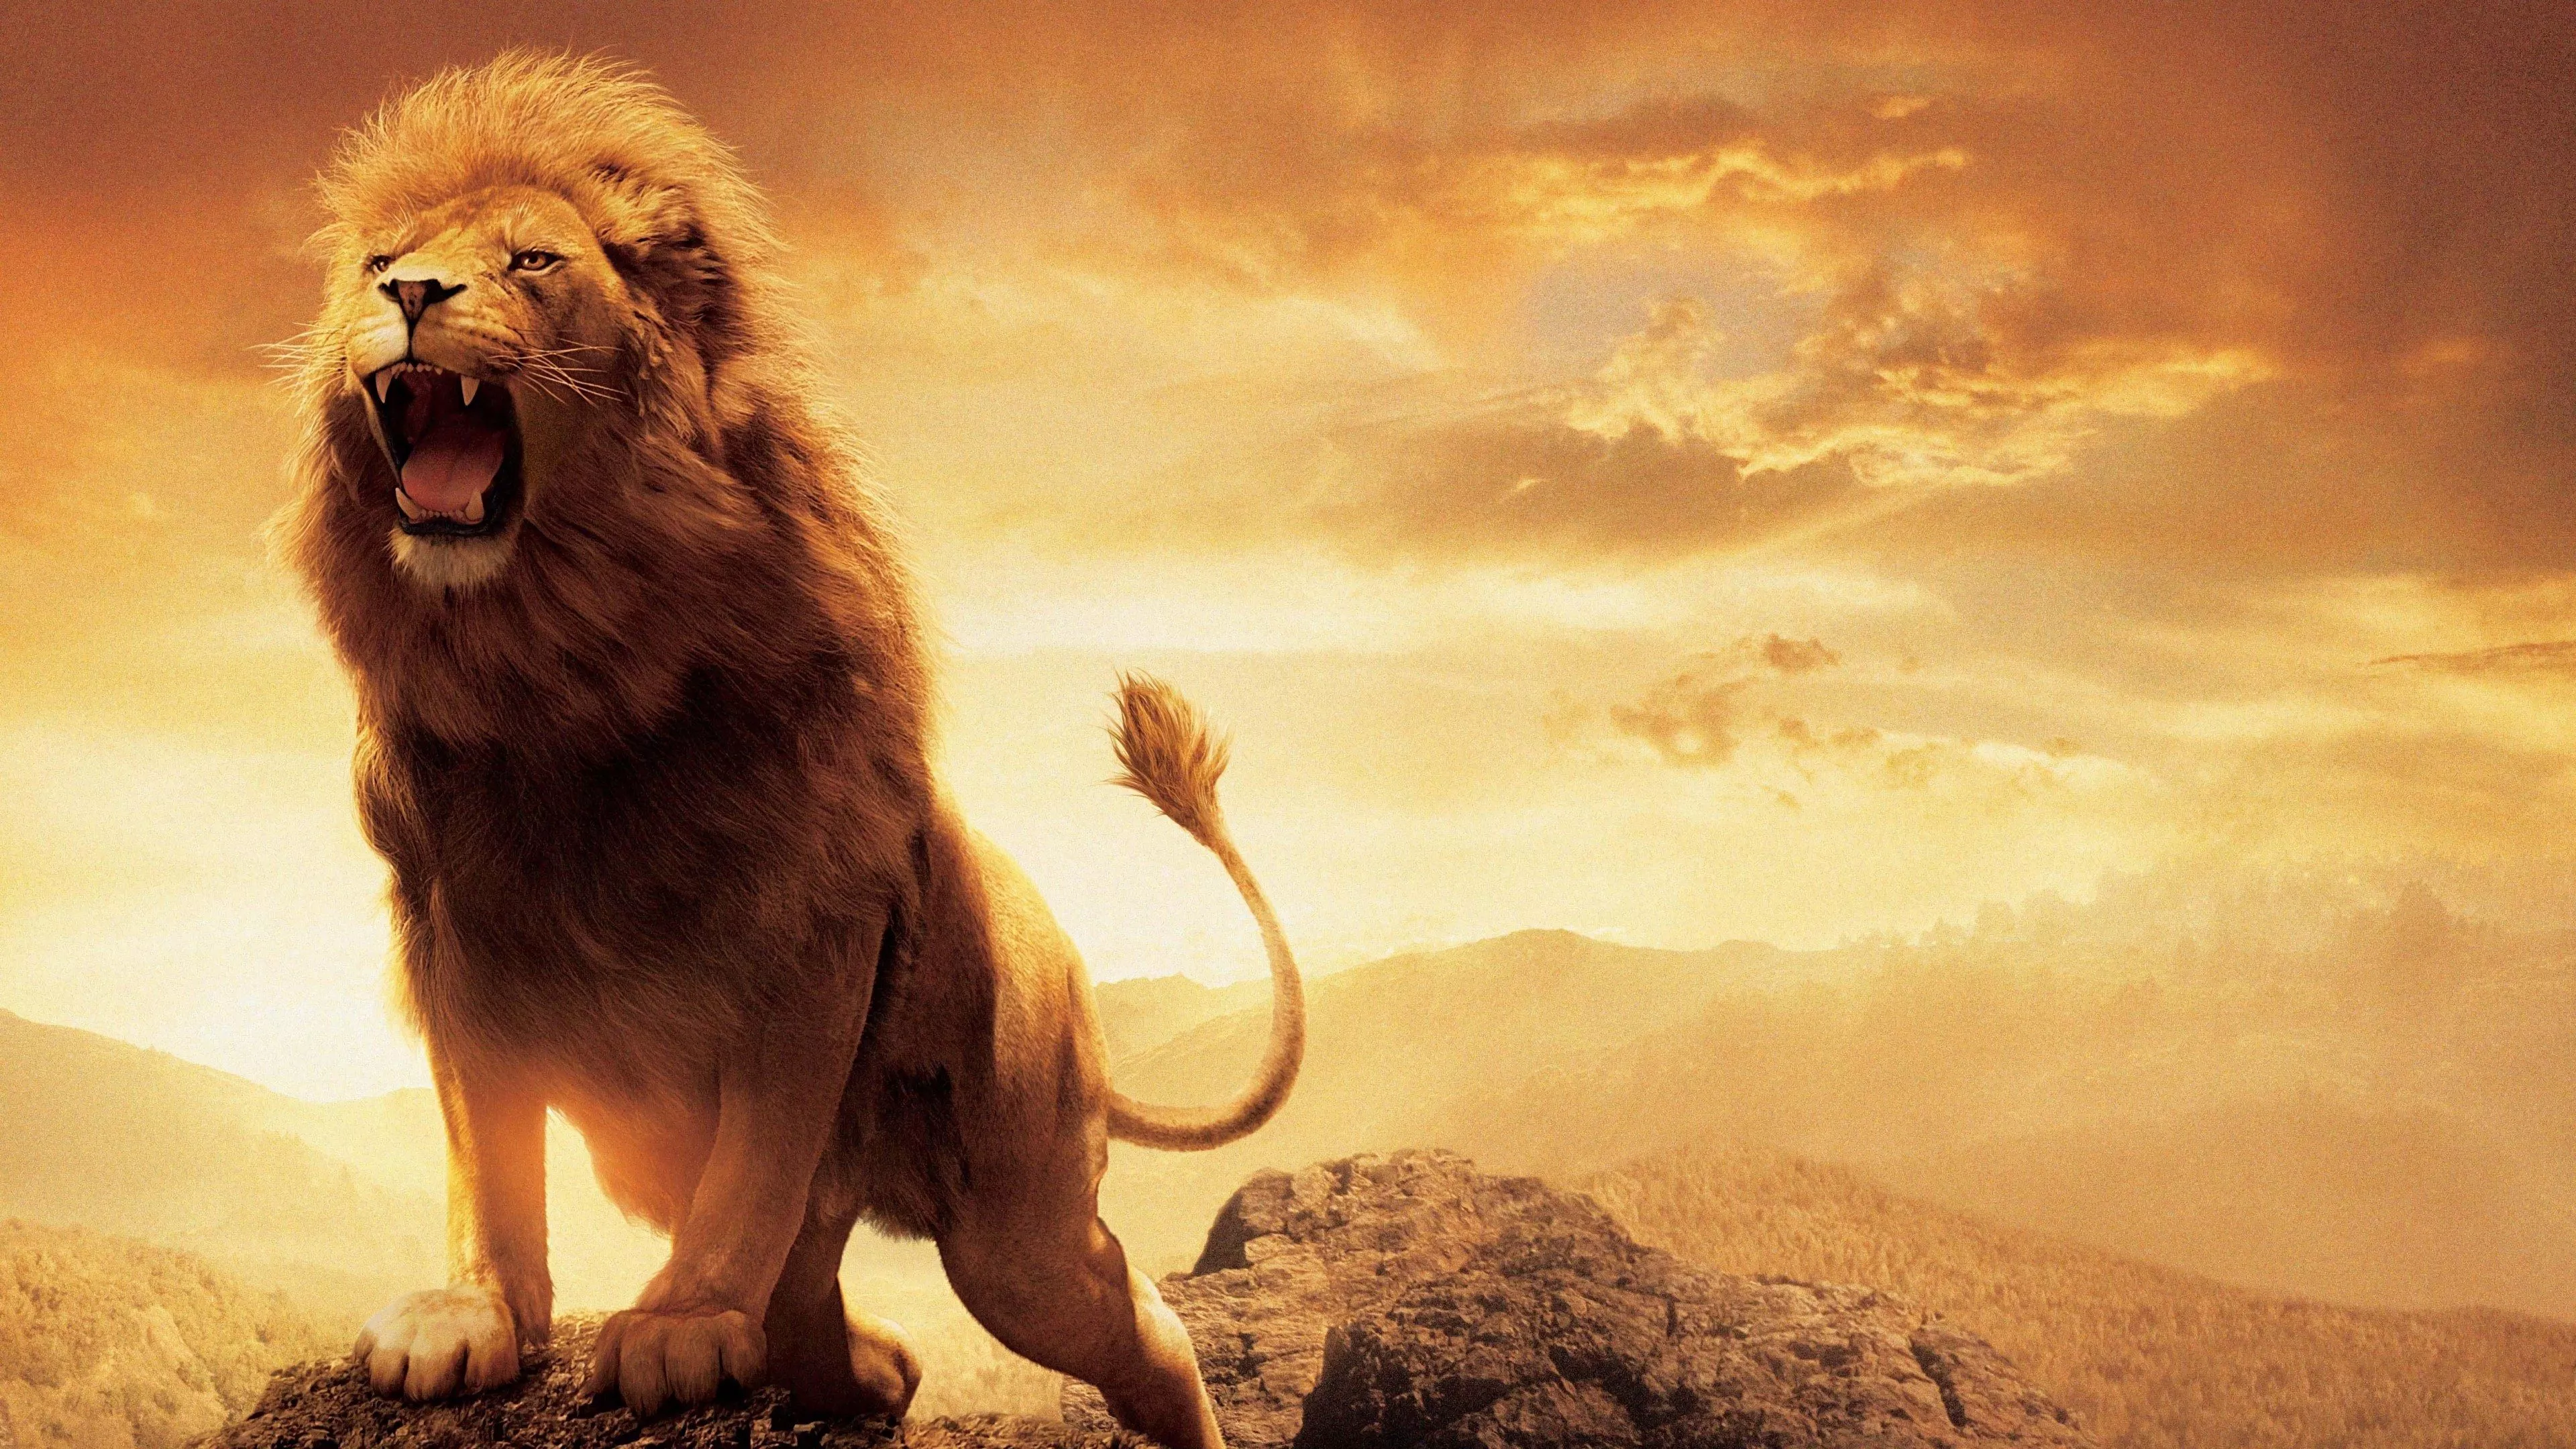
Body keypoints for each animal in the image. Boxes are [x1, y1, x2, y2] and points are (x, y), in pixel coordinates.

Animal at [271, 53, 1303, 1449]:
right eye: (382, 259)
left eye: (532, 261)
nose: (414, 296)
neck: (555, 662)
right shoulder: (455, 928)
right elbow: (488, 1150)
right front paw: (471, 1316)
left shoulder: (811, 927)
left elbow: (756, 1161)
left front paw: (681, 1324)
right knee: (823, 1290)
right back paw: (866, 1369)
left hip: (1018, 1225)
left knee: (1132, 1325)